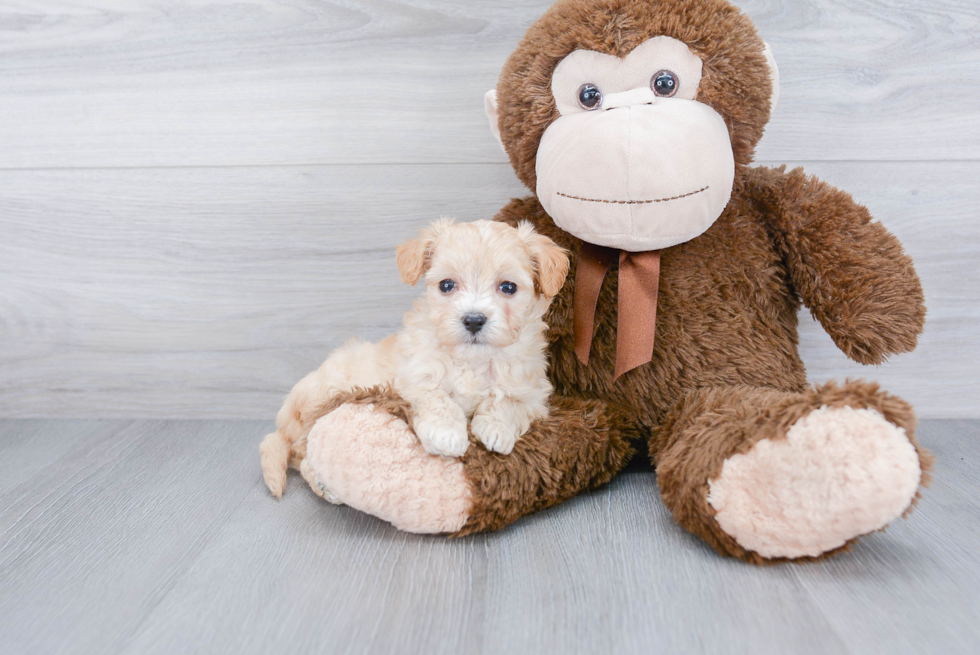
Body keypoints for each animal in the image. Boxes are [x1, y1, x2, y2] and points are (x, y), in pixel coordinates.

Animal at [260, 218, 572, 500]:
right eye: (447, 285)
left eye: (508, 287)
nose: (473, 320)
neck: (472, 359)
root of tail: (284, 424)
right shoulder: (415, 375)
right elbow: (437, 398)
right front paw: (448, 434)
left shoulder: (532, 390)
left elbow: (508, 401)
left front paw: (495, 429)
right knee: (304, 453)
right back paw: (322, 483)